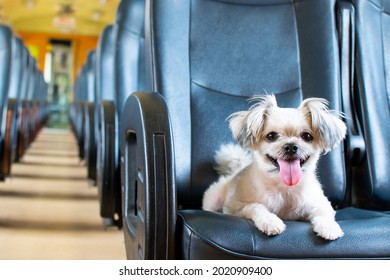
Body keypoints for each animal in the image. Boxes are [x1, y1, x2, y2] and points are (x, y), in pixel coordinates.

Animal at [203, 95, 346, 240]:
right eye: (271, 136)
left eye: (307, 136)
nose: (291, 146)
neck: (284, 187)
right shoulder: (234, 208)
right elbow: (256, 206)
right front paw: (270, 221)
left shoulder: (322, 204)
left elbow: (323, 214)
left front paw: (329, 227)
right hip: (213, 200)